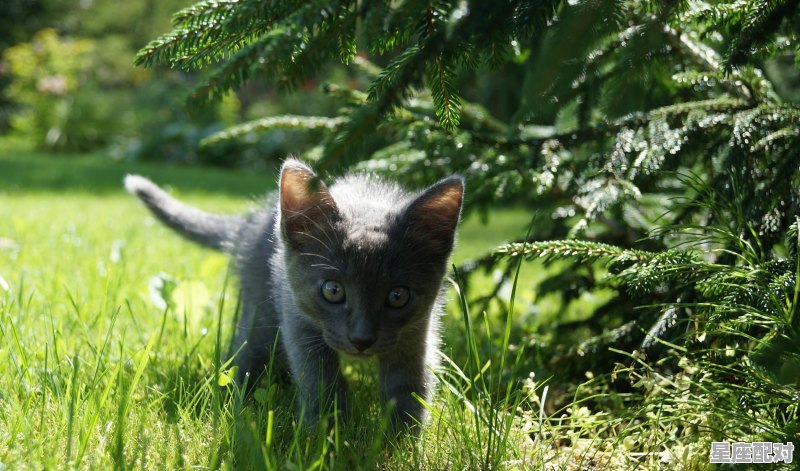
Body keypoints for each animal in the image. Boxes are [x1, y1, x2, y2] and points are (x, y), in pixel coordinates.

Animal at [123, 160, 462, 434]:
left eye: (397, 296)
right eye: (332, 290)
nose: (362, 339)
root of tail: (252, 222)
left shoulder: (416, 332)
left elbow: (409, 386)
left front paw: (402, 443)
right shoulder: (298, 319)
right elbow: (318, 379)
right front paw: (328, 438)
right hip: (261, 308)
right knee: (248, 349)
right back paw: (236, 398)